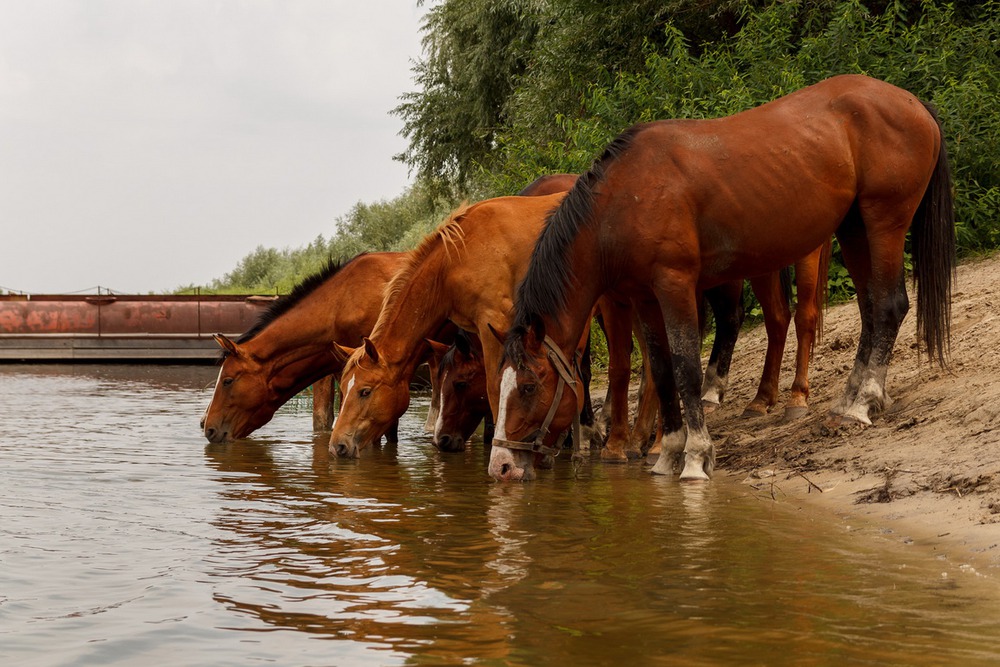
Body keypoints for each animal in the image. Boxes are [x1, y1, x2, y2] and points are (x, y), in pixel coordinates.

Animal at [496, 75, 956, 482]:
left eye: (529, 386)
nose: (501, 466)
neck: (626, 198)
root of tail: (914, 103)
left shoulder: (674, 286)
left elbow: (685, 368)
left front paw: (696, 456)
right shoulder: (645, 298)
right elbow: (661, 369)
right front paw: (670, 453)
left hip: (884, 222)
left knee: (890, 306)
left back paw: (863, 403)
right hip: (854, 229)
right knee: (870, 310)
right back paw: (849, 400)